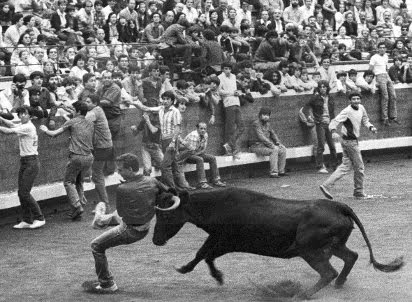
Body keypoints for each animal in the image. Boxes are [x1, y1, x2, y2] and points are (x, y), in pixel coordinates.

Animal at [153, 189, 404, 300]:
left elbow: (205, 255)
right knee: (351, 257)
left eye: (165, 215)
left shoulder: (224, 241)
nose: (156, 240)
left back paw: (302, 294)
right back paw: (340, 284)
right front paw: (189, 269)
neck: (218, 205)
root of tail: (339, 206)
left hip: (309, 250)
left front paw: (216, 276)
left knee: (328, 272)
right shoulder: (216, 238)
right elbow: (202, 254)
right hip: (333, 246)